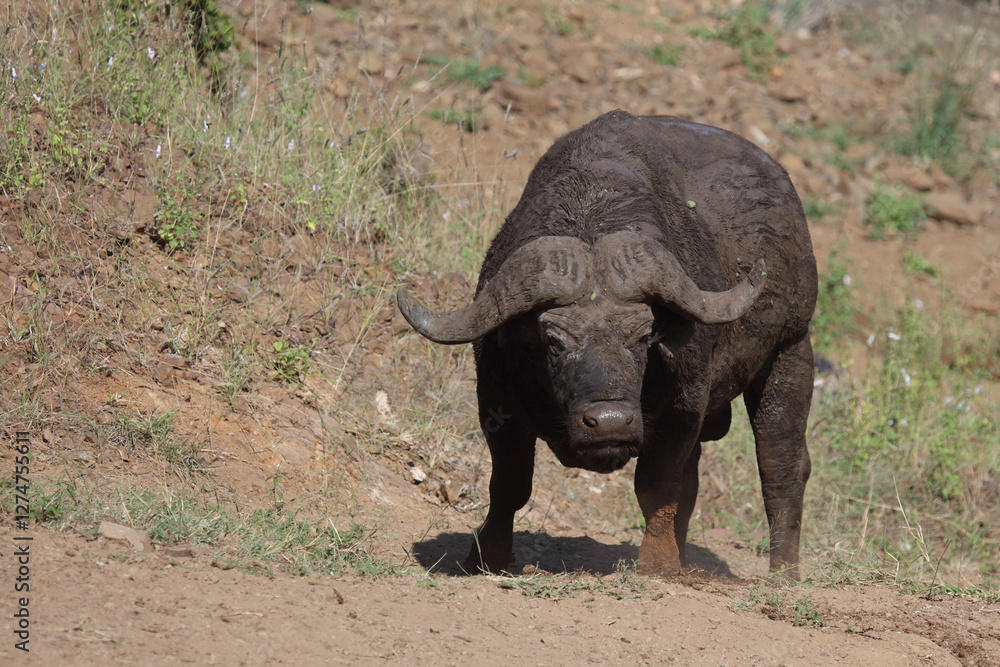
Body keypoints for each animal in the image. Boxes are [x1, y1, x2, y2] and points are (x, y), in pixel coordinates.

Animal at [398, 110, 817, 578]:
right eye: (553, 340)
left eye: (643, 336)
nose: (611, 422)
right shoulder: (495, 397)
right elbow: (508, 484)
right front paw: (486, 556)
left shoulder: (684, 404)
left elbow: (657, 486)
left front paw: (657, 563)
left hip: (791, 349)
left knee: (781, 464)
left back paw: (783, 571)